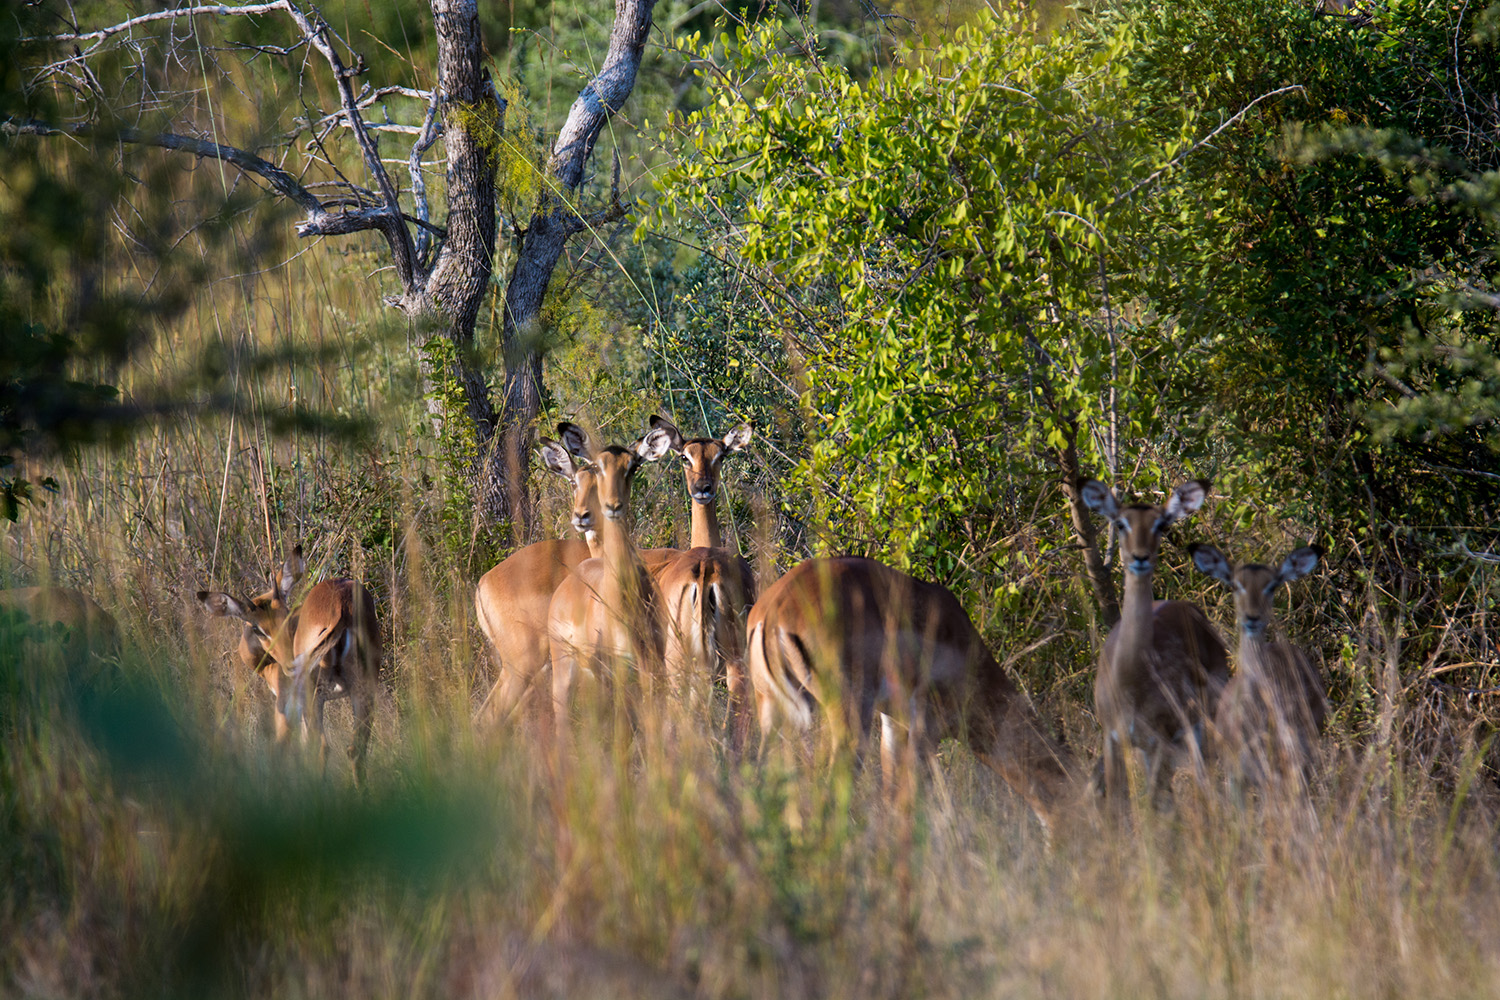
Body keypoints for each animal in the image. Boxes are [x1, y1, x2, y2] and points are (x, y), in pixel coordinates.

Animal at [198, 547, 382, 781]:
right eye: (257, 627)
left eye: (285, 616)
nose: (287, 664)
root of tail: (342, 608)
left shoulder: (286, 703)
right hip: (362, 690)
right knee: (355, 749)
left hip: (314, 695)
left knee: (320, 748)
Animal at [642, 414, 756, 748]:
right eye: (685, 456)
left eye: (720, 456)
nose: (702, 488)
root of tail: (705, 568)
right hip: (732, 663)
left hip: (686, 664)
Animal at [746, 557, 1080, 836]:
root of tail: (773, 609)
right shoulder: (926, 729)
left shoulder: (894, 724)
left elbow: (892, 796)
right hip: (848, 717)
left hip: (771, 711)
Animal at [1080, 478, 1229, 800]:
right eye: (1120, 523)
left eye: (1161, 524)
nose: (1140, 557)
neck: (1129, 679)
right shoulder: (1114, 741)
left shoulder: (1159, 742)